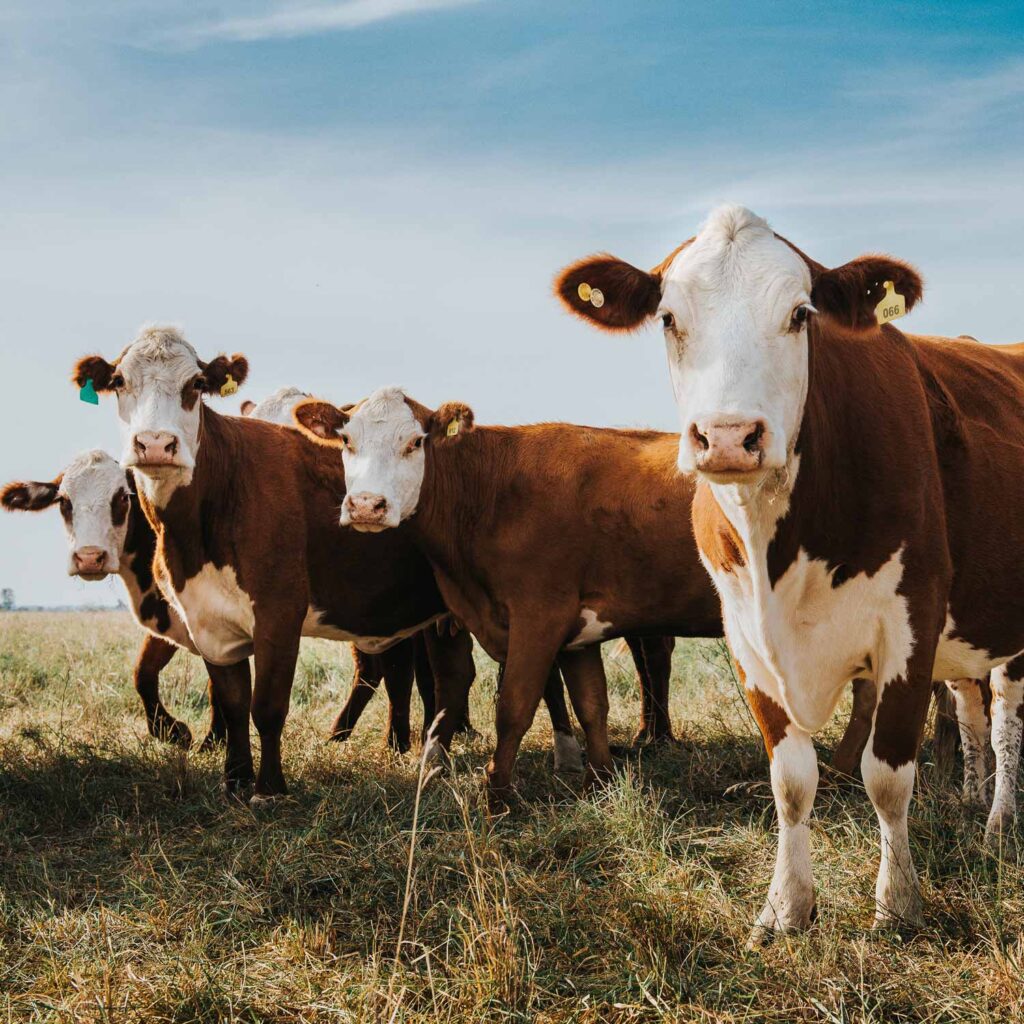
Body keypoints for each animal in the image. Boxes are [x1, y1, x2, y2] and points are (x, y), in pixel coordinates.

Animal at [557, 205, 1024, 942]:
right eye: (667, 317)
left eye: (801, 314)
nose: (727, 437)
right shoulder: (746, 637)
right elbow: (791, 779)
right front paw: (785, 907)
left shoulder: (911, 624)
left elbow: (888, 775)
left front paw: (897, 904)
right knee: (976, 714)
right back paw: (973, 800)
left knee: (1005, 720)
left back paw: (1001, 823)